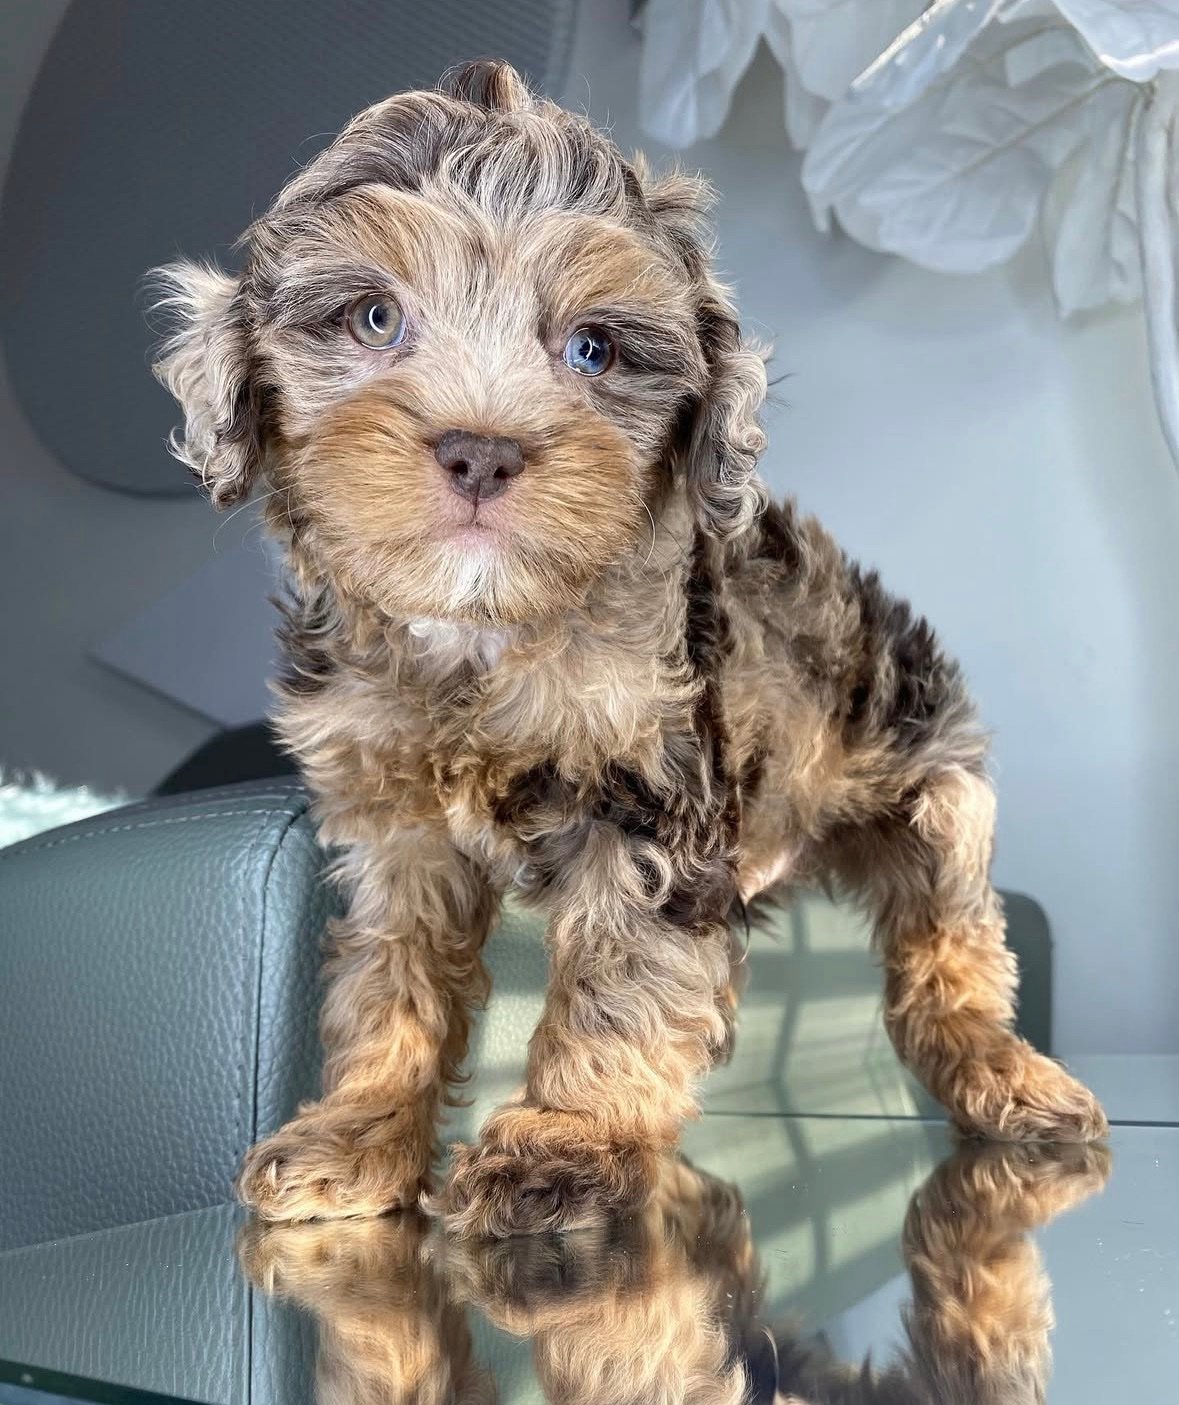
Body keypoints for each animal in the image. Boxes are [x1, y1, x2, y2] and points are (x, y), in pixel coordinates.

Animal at [152, 58, 1106, 1237]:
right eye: (374, 317)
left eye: (593, 349)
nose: (480, 451)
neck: (482, 635)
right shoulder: (393, 824)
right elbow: (391, 976)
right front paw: (357, 1132)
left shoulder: (652, 793)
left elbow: (619, 972)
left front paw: (563, 1143)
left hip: (930, 776)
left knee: (952, 941)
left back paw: (1004, 1075)